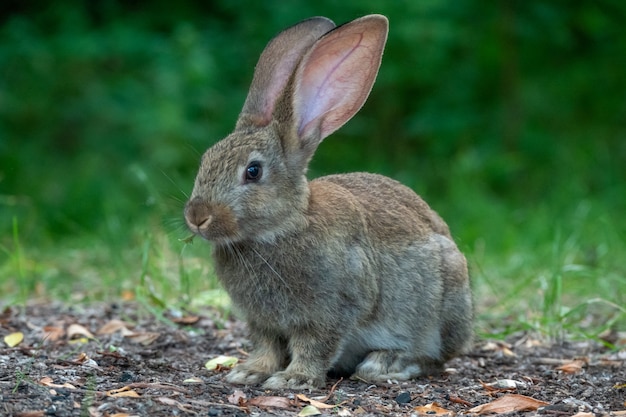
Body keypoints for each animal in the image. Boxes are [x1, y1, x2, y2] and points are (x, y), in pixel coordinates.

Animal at [183, 13, 470, 390]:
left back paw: (385, 364)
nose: (196, 216)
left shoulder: (333, 309)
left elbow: (315, 345)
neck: (283, 227)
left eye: (253, 172)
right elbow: (266, 346)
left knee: (433, 358)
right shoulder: (262, 322)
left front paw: (293, 379)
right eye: (205, 159)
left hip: (442, 304)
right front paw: (250, 372)